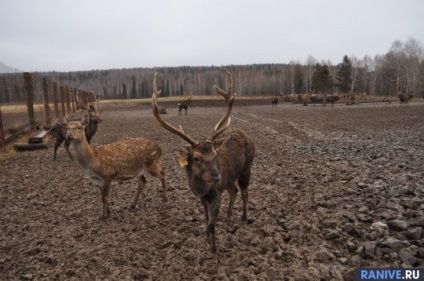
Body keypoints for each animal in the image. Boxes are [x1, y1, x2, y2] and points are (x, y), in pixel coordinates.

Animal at [152, 68, 255, 252]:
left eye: (214, 154)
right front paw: (207, 239)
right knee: (234, 191)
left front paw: (214, 249)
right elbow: (206, 219)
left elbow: (212, 224)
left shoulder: (216, 195)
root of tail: (247, 135)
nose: (216, 176)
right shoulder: (202, 198)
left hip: (246, 169)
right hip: (229, 179)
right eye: (196, 158)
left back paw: (244, 217)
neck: (203, 189)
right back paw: (228, 220)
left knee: (244, 191)